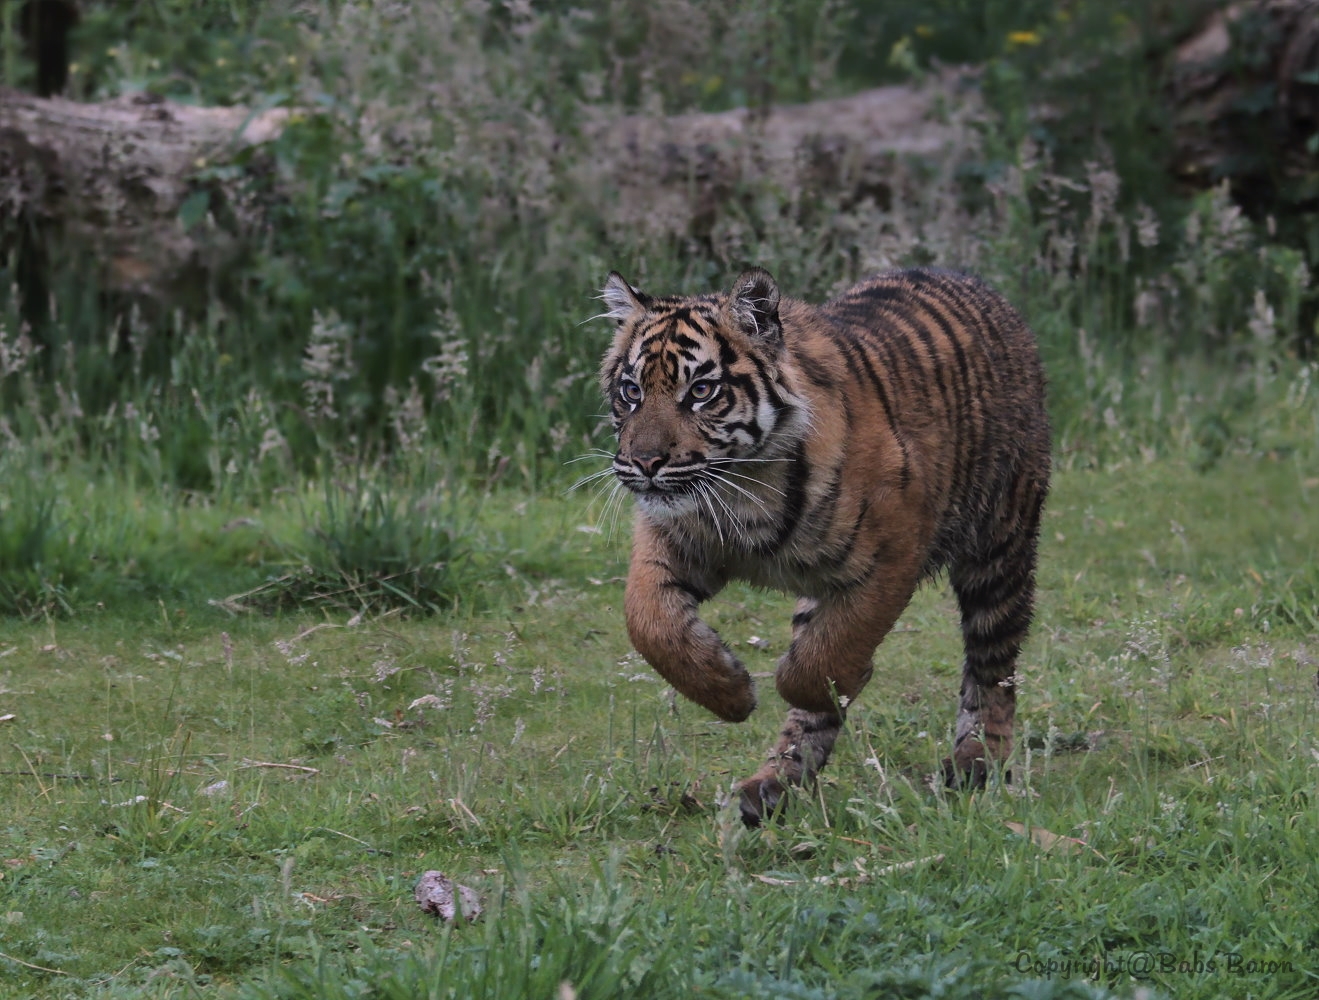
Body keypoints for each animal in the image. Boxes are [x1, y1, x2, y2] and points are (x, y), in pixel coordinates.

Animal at [598, 266, 1049, 828]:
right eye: (631, 391)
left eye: (701, 390)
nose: (644, 463)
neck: (744, 487)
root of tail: (978, 286)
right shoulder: (671, 538)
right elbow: (649, 623)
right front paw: (731, 693)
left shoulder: (894, 553)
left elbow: (829, 653)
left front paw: (817, 683)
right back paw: (769, 787)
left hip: (999, 546)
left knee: (993, 669)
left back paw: (976, 764)